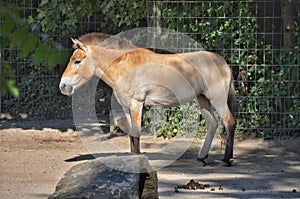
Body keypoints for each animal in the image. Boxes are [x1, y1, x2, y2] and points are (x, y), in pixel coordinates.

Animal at [59, 33, 237, 166]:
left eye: (78, 61)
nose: (63, 86)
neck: (126, 66)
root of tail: (223, 62)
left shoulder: (137, 104)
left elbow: (137, 133)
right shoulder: (126, 107)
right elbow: (132, 133)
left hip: (217, 99)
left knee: (229, 122)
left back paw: (226, 159)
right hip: (203, 99)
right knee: (213, 124)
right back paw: (202, 157)